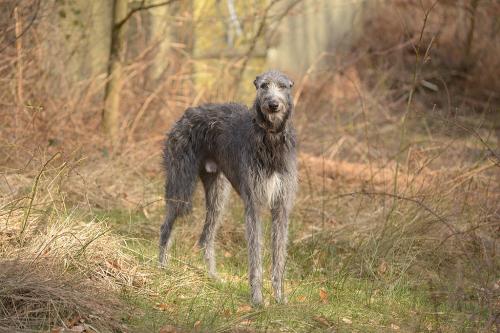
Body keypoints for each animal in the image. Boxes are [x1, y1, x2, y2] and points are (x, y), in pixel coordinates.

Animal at [159, 70, 296, 306]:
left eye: (282, 86)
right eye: (263, 85)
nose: (273, 105)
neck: (270, 140)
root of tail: (188, 112)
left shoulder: (281, 207)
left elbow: (279, 257)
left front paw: (279, 298)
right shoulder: (253, 205)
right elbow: (255, 256)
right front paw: (257, 299)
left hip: (218, 196)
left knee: (205, 238)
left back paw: (213, 277)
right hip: (182, 187)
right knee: (166, 226)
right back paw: (162, 267)